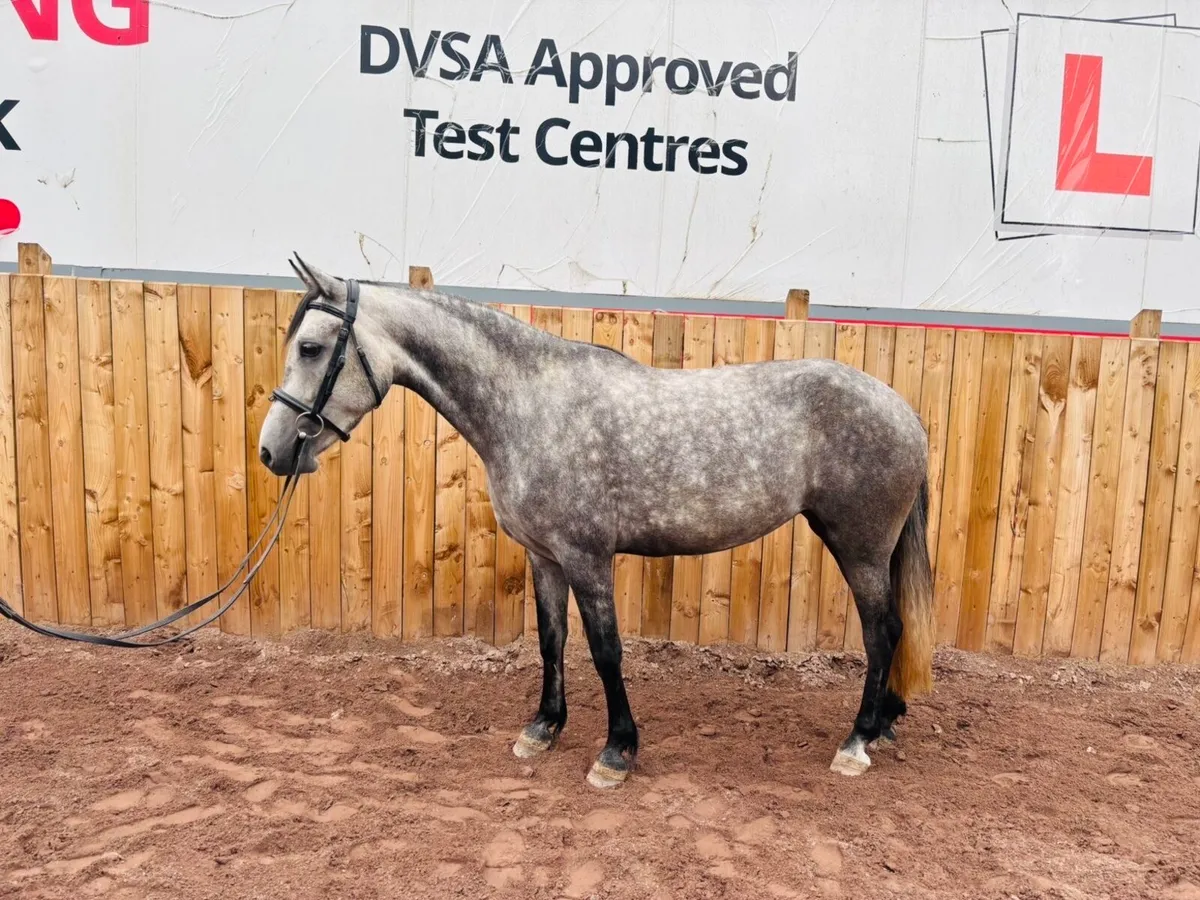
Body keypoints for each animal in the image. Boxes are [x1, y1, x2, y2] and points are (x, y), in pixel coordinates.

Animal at [258, 255, 935, 788]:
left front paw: (616, 753)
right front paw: (542, 729)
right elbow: (551, 640)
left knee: (881, 632)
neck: (530, 406)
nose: (272, 451)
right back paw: (882, 726)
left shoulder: (587, 557)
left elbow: (606, 650)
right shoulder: (544, 556)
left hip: (860, 546)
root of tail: (904, 411)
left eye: (311, 348)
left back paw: (856, 743)